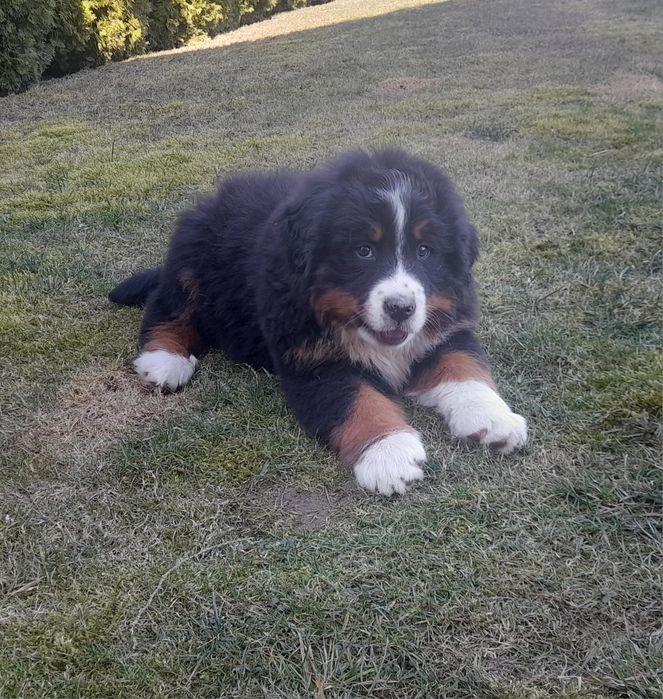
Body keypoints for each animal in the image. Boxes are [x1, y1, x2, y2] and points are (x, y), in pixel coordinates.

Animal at [109, 149, 527, 495]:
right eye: (364, 250)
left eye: (425, 251)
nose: (401, 308)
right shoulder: (314, 363)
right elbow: (358, 401)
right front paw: (389, 453)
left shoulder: (445, 330)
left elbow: (465, 368)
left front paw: (493, 418)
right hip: (189, 263)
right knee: (166, 309)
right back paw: (164, 361)